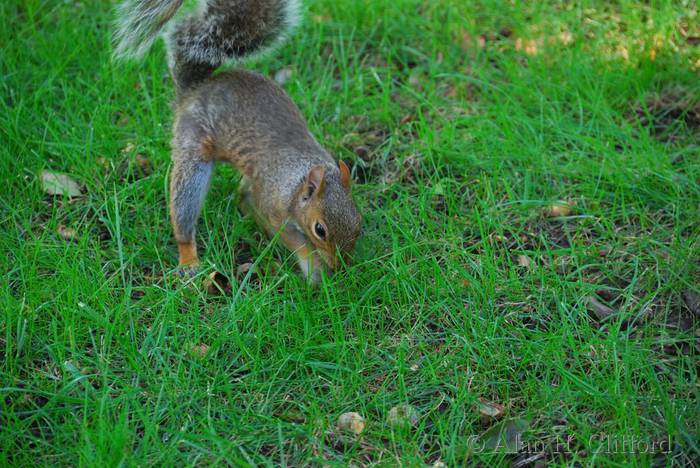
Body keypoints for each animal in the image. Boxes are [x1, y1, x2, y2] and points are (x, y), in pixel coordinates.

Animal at [113, 0, 360, 282]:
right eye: (320, 229)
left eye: (358, 224)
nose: (340, 266)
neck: (298, 181)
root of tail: (193, 91)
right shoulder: (273, 205)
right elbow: (293, 239)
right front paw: (315, 272)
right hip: (193, 147)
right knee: (186, 209)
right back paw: (189, 260)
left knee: (242, 194)